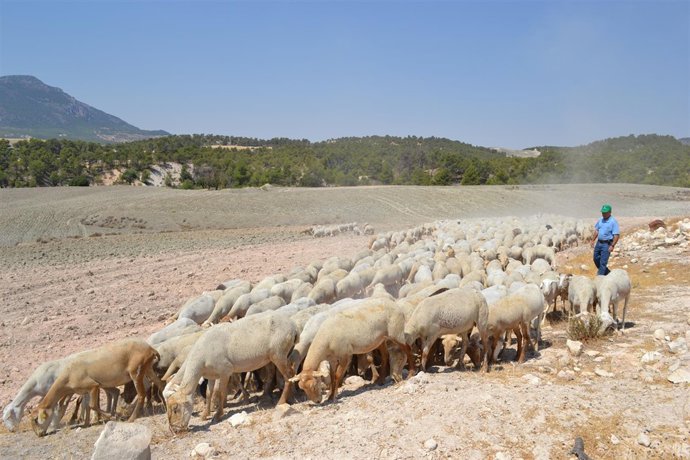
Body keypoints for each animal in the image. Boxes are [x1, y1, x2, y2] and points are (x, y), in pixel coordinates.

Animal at [30, 339, 163, 437]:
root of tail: (150, 349)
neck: (69, 374)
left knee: (141, 395)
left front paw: (111, 416)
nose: (39, 434)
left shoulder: (93, 386)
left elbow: (92, 405)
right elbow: (88, 406)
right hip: (147, 369)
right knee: (160, 384)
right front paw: (85, 424)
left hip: (136, 373)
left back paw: (131, 418)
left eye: (36, 419)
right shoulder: (87, 390)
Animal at [165, 312, 298, 432]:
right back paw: (290, 397)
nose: (175, 430)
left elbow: (220, 392)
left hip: (278, 353)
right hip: (276, 355)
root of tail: (293, 326)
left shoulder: (225, 370)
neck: (200, 359)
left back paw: (282, 401)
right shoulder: (211, 375)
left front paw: (217, 415)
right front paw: (205, 414)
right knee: (286, 373)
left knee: (288, 376)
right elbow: (208, 393)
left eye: (175, 408)